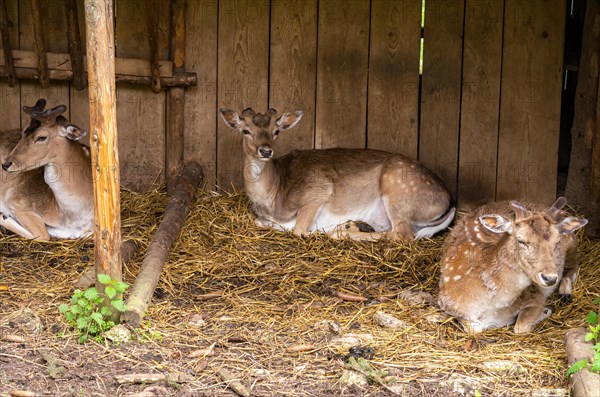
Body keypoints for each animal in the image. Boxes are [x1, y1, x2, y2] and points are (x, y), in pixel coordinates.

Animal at [0, 99, 94, 240]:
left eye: (42, 137)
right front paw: (3, 216)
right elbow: (43, 235)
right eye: (23, 131)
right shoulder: (18, 203)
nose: (6, 164)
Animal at [219, 106, 454, 240]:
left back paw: (342, 230)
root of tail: (448, 200)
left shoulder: (317, 192)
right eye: (245, 130)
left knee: (402, 235)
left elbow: (298, 230)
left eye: (276, 131)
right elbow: (259, 222)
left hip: (398, 190)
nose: (266, 151)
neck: (273, 198)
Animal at [438, 196, 588, 332]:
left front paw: (545, 311)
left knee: (575, 265)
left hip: (571, 242)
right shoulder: (447, 304)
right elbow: (474, 329)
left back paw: (565, 292)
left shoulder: (535, 294)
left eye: (556, 242)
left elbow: (520, 327)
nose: (550, 278)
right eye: (521, 241)